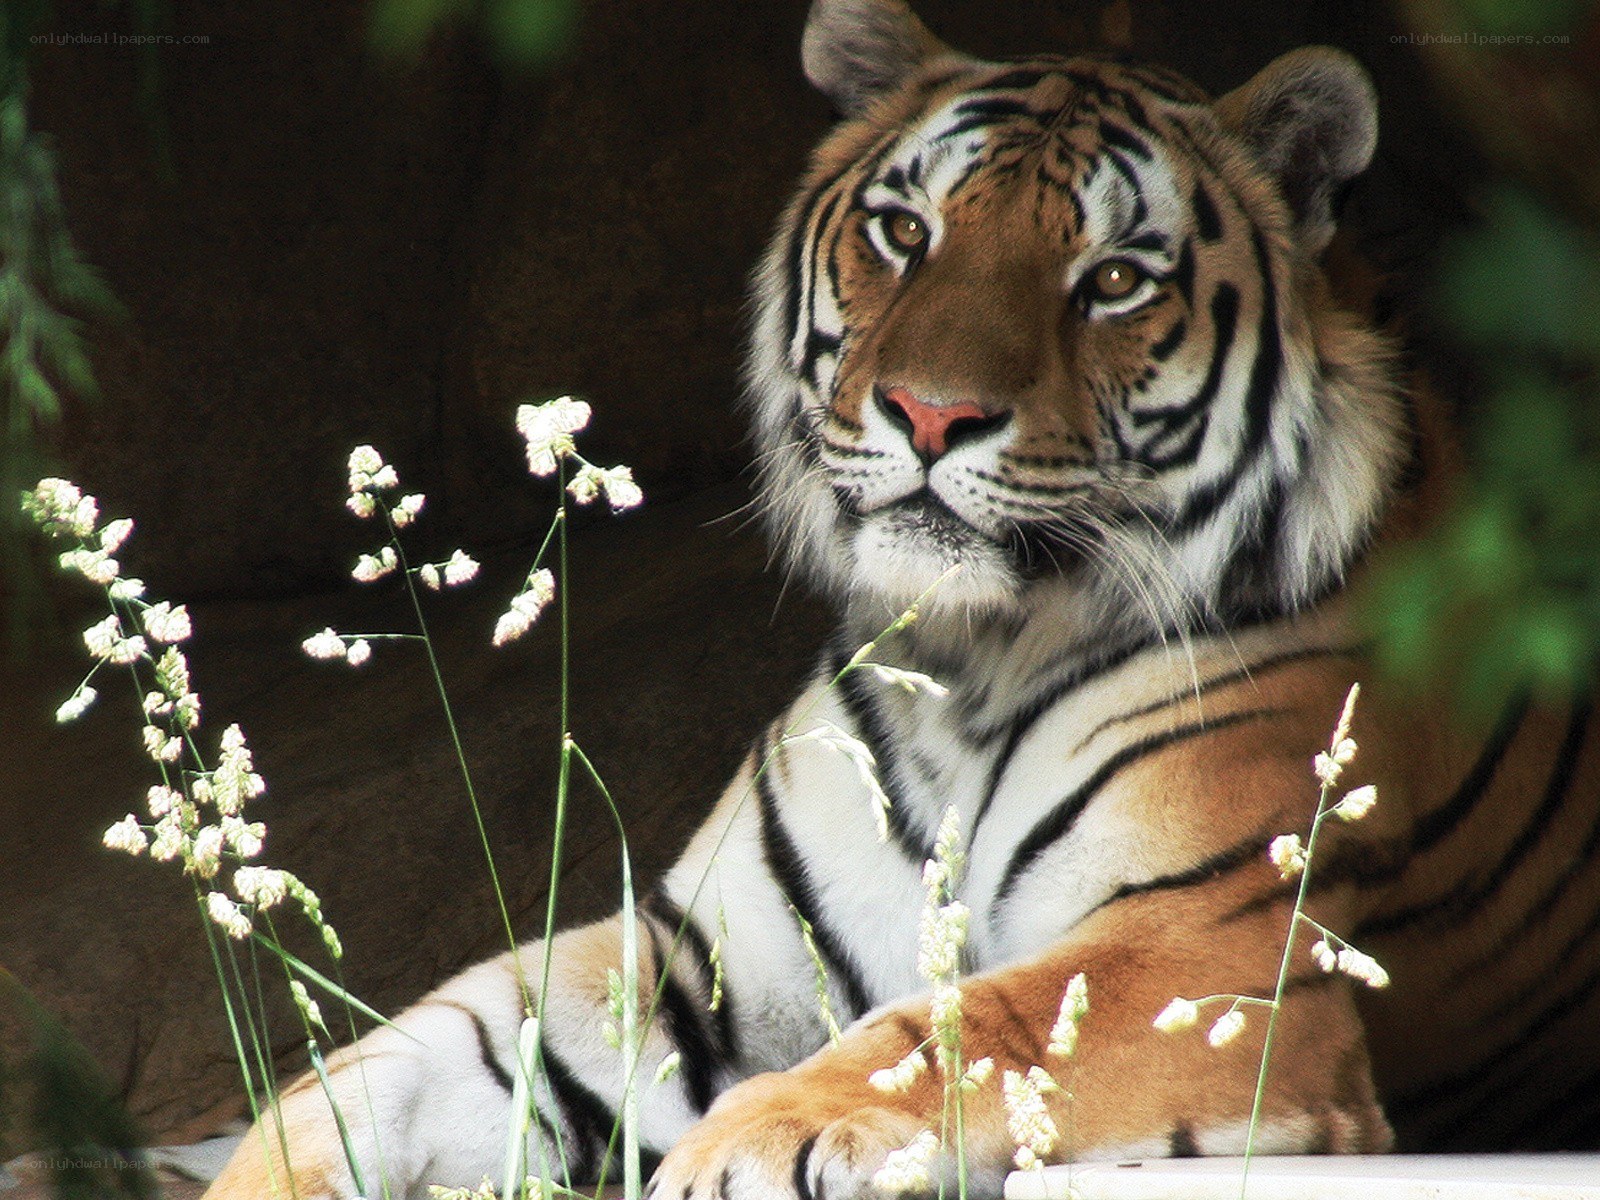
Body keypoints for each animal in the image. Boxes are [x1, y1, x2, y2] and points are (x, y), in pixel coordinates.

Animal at [207, 0, 1600, 1196]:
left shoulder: (1212, 952)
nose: (931, 416)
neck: (973, 661)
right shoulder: (708, 951)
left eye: (1113, 280)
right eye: (906, 234)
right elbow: (405, 1056)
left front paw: (746, 1142)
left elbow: (967, 1025)